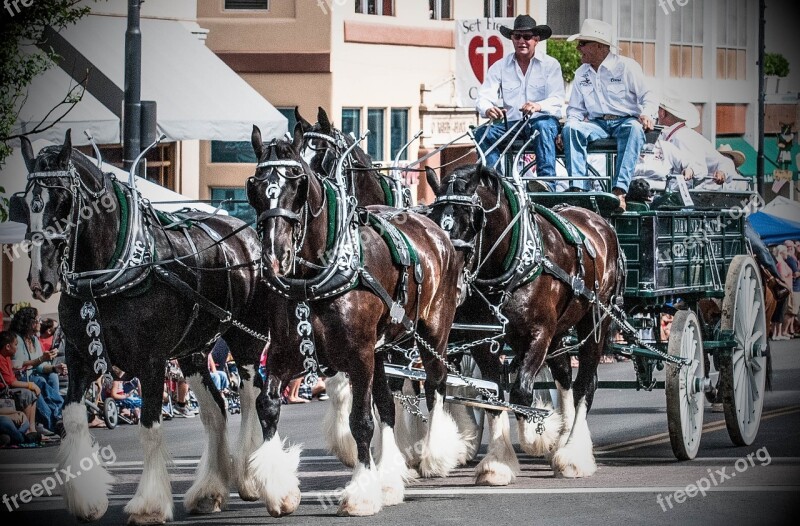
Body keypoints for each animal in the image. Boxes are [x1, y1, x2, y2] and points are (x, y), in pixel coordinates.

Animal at [247, 129, 466, 520]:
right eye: (255, 185)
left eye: (297, 182)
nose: (275, 255)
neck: (314, 277)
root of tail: (432, 228)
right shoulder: (284, 354)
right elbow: (268, 406)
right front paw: (277, 489)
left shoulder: (358, 356)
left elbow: (361, 422)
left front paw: (361, 492)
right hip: (380, 351)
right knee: (388, 404)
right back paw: (391, 478)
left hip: (433, 331)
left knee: (435, 385)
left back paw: (435, 454)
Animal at [424, 163, 624, 484]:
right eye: (431, 218)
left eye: (472, 220)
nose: (448, 281)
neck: (511, 262)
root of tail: (599, 222)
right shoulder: (483, 340)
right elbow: (492, 394)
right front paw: (498, 463)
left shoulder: (539, 332)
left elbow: (520, 391)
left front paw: (537, 435)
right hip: (559, 331)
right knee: (564, 375)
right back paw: (563, 439)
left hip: (596, 321)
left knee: (584, 384)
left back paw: (573, 454)